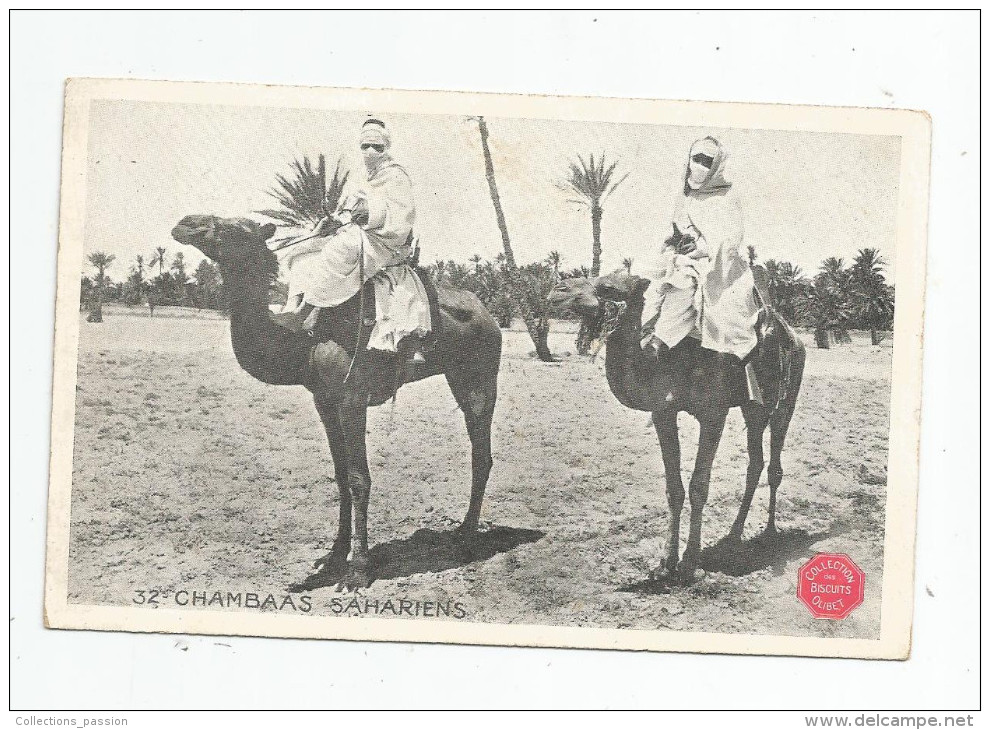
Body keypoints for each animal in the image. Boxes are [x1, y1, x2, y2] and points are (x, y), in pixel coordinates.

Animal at [170, 213, 504, 588]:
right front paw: (333, 555)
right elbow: (341, 475)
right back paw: (462, 530)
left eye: (235, 228)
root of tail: (488, 314)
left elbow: (360, 478)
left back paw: (466, 538)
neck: (304, 339)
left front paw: (358, 568)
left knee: (481, 453)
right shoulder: (325, 401)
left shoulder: (352, 398)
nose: (185, 223)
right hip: (457, 375)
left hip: (480, 375)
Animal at [552, 270, 808, 584]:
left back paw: (770, 532)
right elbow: (673, 488)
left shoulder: (713, 413)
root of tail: (794, 336)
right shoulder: (664, 411)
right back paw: (733, 536)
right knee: (755, 462)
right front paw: (665, 562)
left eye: (607, 287)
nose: (557, 289)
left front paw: (689, 562)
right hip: (753, 406)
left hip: (787, 395)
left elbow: (699, 485)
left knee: (774, 464)